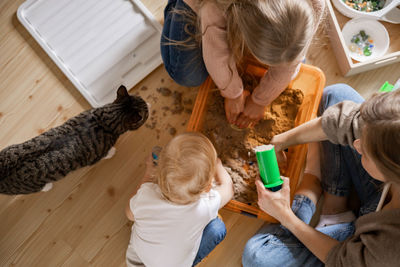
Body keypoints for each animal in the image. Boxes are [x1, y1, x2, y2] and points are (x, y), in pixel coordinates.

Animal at [0, 86, 148, 195]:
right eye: (145, 110)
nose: (147, 103)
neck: (104, 121)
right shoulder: (96, 156)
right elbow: (105, 154)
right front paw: (111, 152)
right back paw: (47, 186)